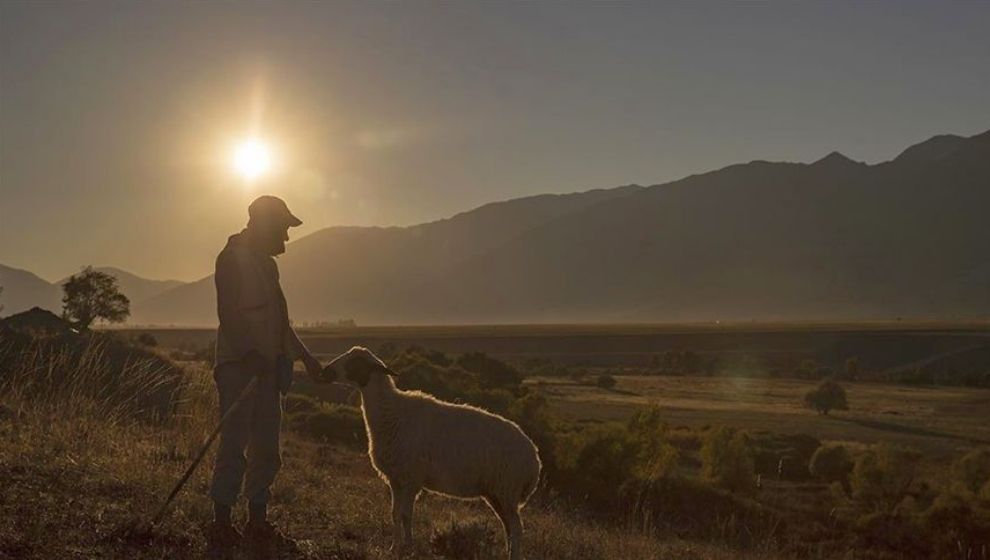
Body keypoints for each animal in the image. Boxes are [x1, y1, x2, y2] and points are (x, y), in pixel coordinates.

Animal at [322, 346, 544, 560]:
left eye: (355, 362)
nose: (325, 372)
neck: (392, 412)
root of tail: (534, 458)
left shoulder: (411, 479)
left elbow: (406, 515)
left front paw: (409, 548)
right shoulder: (395, 479)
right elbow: (395, 513)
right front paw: (394, 547)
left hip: (507, 489)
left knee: (517, 528)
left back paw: (514, 555)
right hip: (496, 493)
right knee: (508, 527)